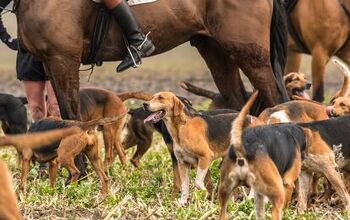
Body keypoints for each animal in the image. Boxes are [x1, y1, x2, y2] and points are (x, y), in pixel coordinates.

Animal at [14, 0, 288, 120]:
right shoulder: (50, 62)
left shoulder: (63, 60)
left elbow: (72, 116)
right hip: (215, 50)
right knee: (237, 103)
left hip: (251, 56)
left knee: (277, 102)